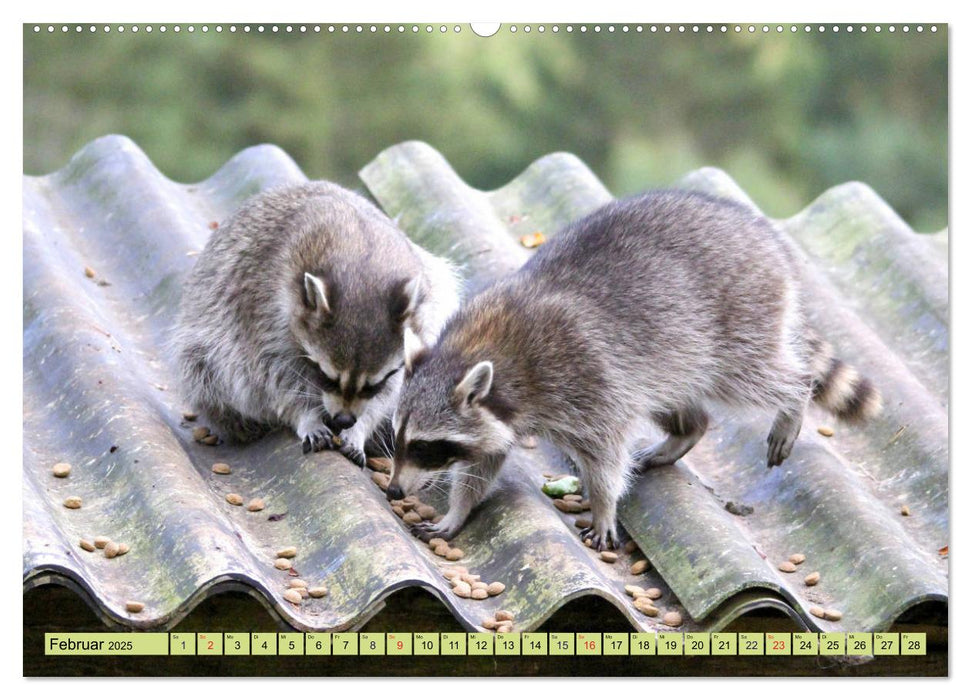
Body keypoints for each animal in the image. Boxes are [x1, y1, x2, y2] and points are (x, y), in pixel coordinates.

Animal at [173, 180, 462, 464]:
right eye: (326, 376)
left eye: (374, 384)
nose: (344, 420)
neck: (360, 254)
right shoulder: (261, 308)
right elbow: (270, 377)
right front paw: (305, 415)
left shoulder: (420, 325)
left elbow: (394, 390)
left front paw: (362, 427)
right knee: (204, 368)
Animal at [388, 193, 880, 552]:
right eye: (397, 438)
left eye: (427, 447)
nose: (393, 492)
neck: (474, 349)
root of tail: (764, 236)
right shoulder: (505, 410)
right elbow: (482, 464)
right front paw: (458, 511)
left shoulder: (585, 376)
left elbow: (606, 454)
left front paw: (605, 506)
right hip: (671, 357)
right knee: (672, 400)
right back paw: (686, 430)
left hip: (739, 318)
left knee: (758, 375)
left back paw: (794, 398)